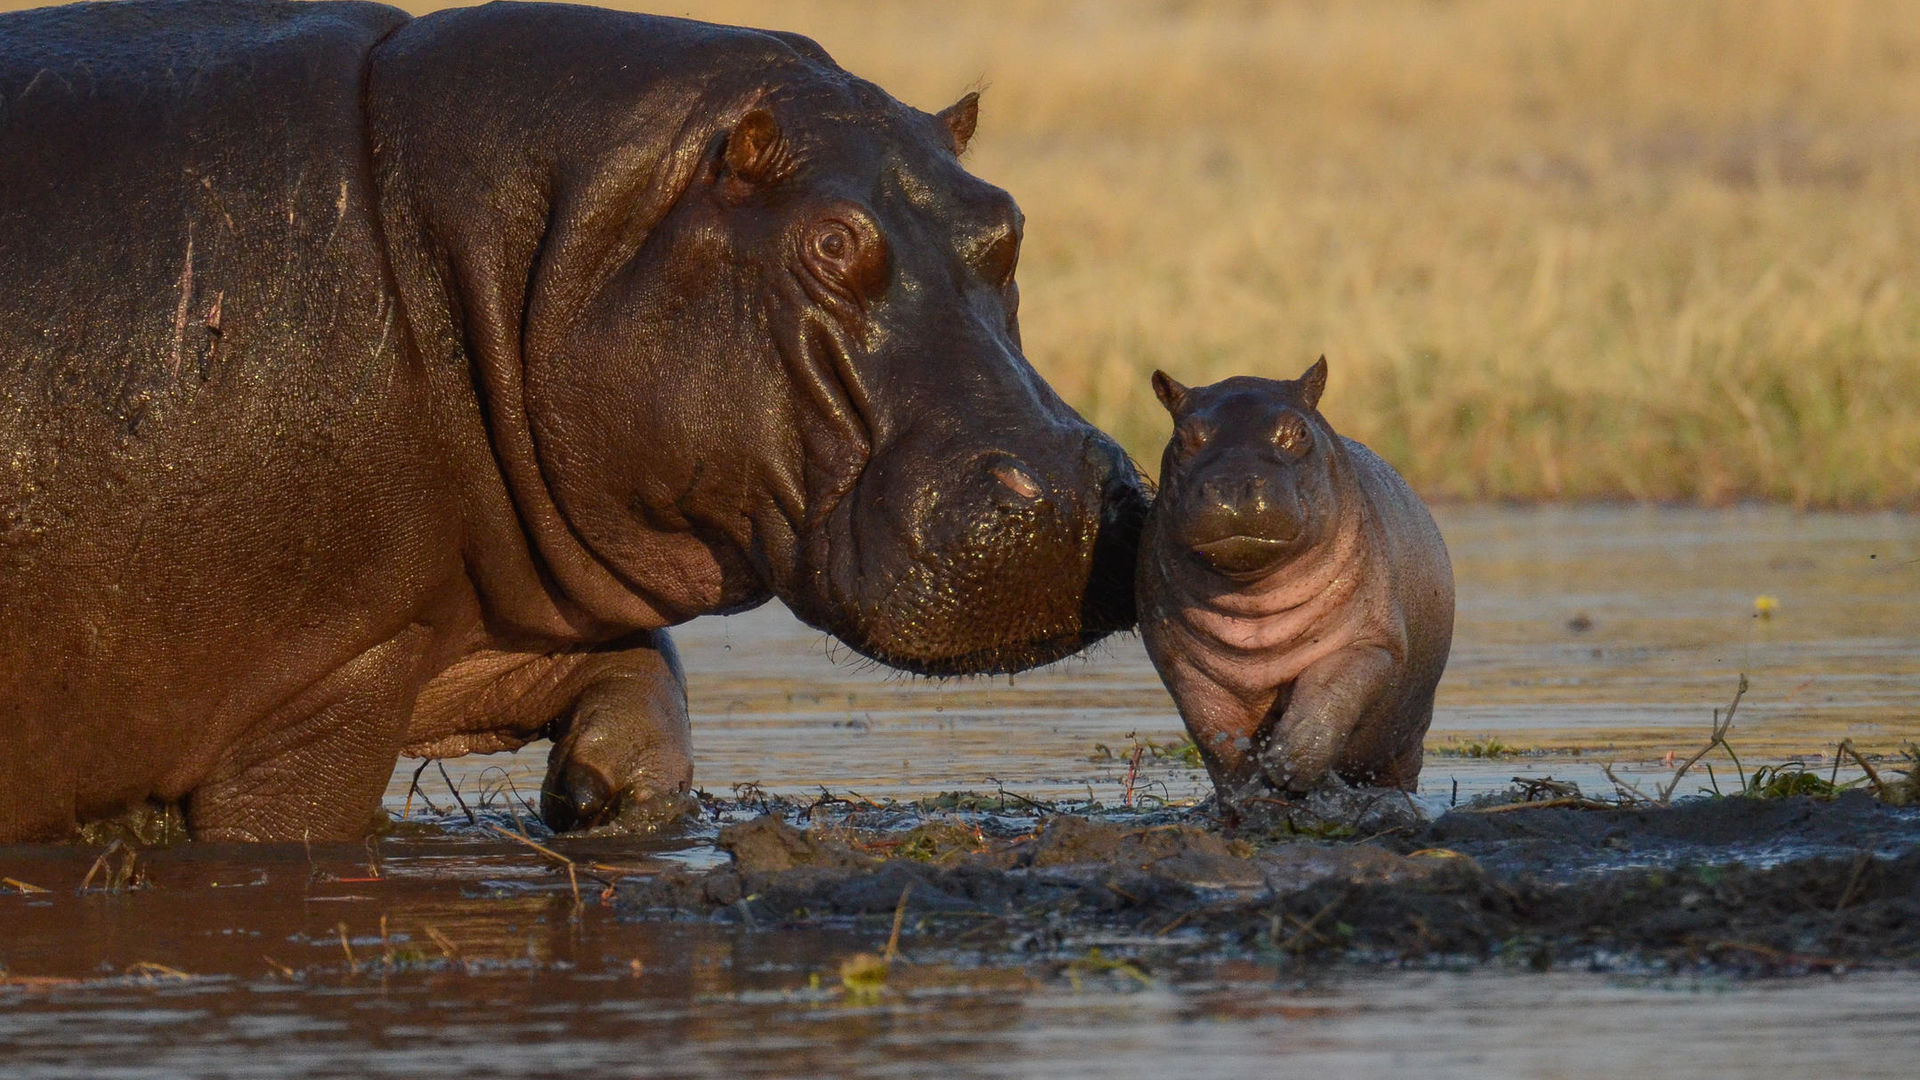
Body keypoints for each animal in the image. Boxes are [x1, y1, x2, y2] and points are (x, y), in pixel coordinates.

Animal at [0, 0, 1144, 841]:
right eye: (830, 241)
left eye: (1007, 220)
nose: (1075, 500)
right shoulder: (316, 690)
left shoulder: (469, 615)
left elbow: (646, 667)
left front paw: (600, 788)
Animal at [1128, 355, 1443, 799]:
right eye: (1183, 437)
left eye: (1299, 431)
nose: (1233, 484)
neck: (1255, 600)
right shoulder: (1184, 666)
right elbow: (1216, 731)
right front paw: (1246, 790)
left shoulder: (1372, 643)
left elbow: (1329, 692)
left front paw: (1287, 766)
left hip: (1406, 742)